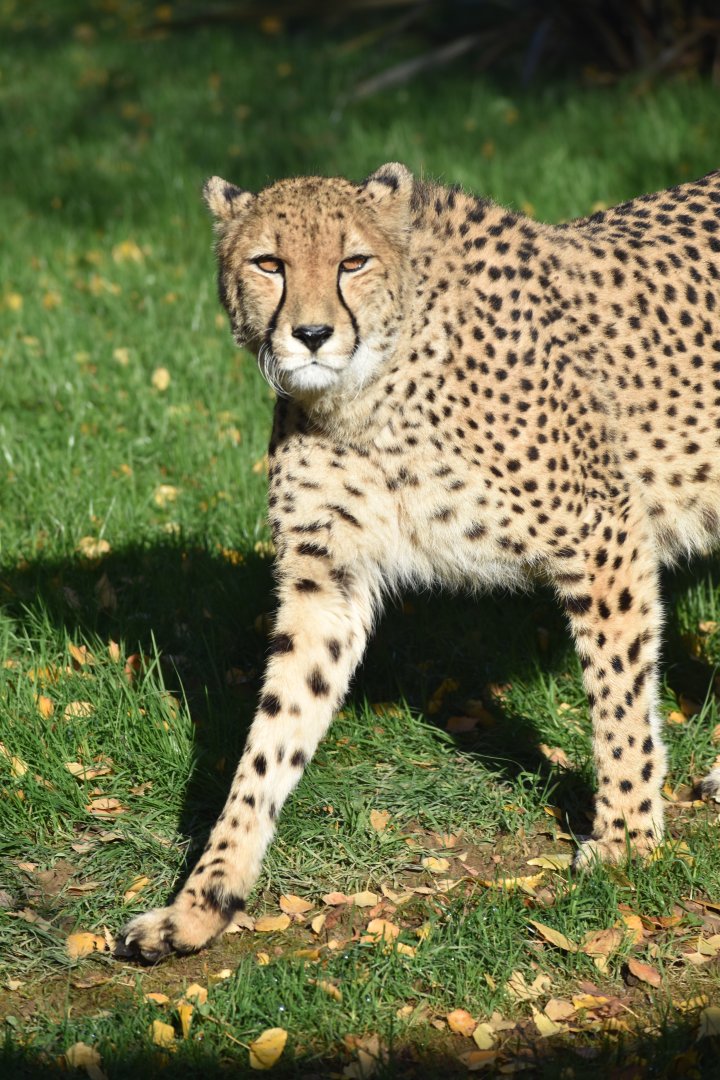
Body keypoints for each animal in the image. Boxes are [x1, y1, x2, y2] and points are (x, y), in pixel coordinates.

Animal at [119, 161, 720, 961]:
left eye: (353, 262)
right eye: (269, 263)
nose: (312, 334)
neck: (370, 393)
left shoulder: (604, 536)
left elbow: (618, 704)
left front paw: (626, 841)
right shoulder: (326, 582)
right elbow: (271, 741)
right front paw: (201, 902)